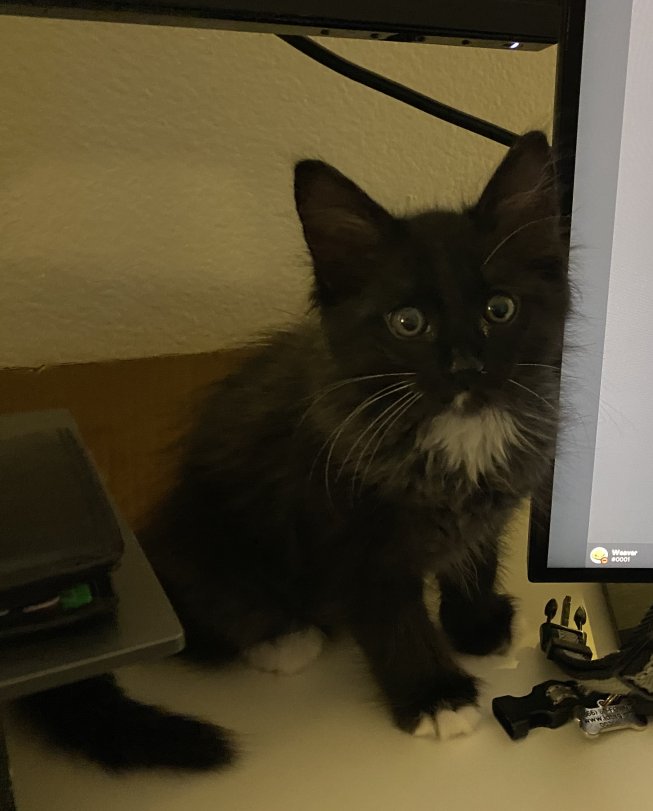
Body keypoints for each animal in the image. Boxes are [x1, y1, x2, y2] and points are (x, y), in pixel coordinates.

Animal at [23, 130, 569, 767]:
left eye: (499, 309)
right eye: (408, 323)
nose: (465, 366)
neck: (456, 433)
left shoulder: (491, 505)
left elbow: (474, 560)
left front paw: (477, 626)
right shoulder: (350, 536)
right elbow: (396, 622)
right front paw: (437, 699)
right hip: (214, 540)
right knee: (206, 618)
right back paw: (282, 638)